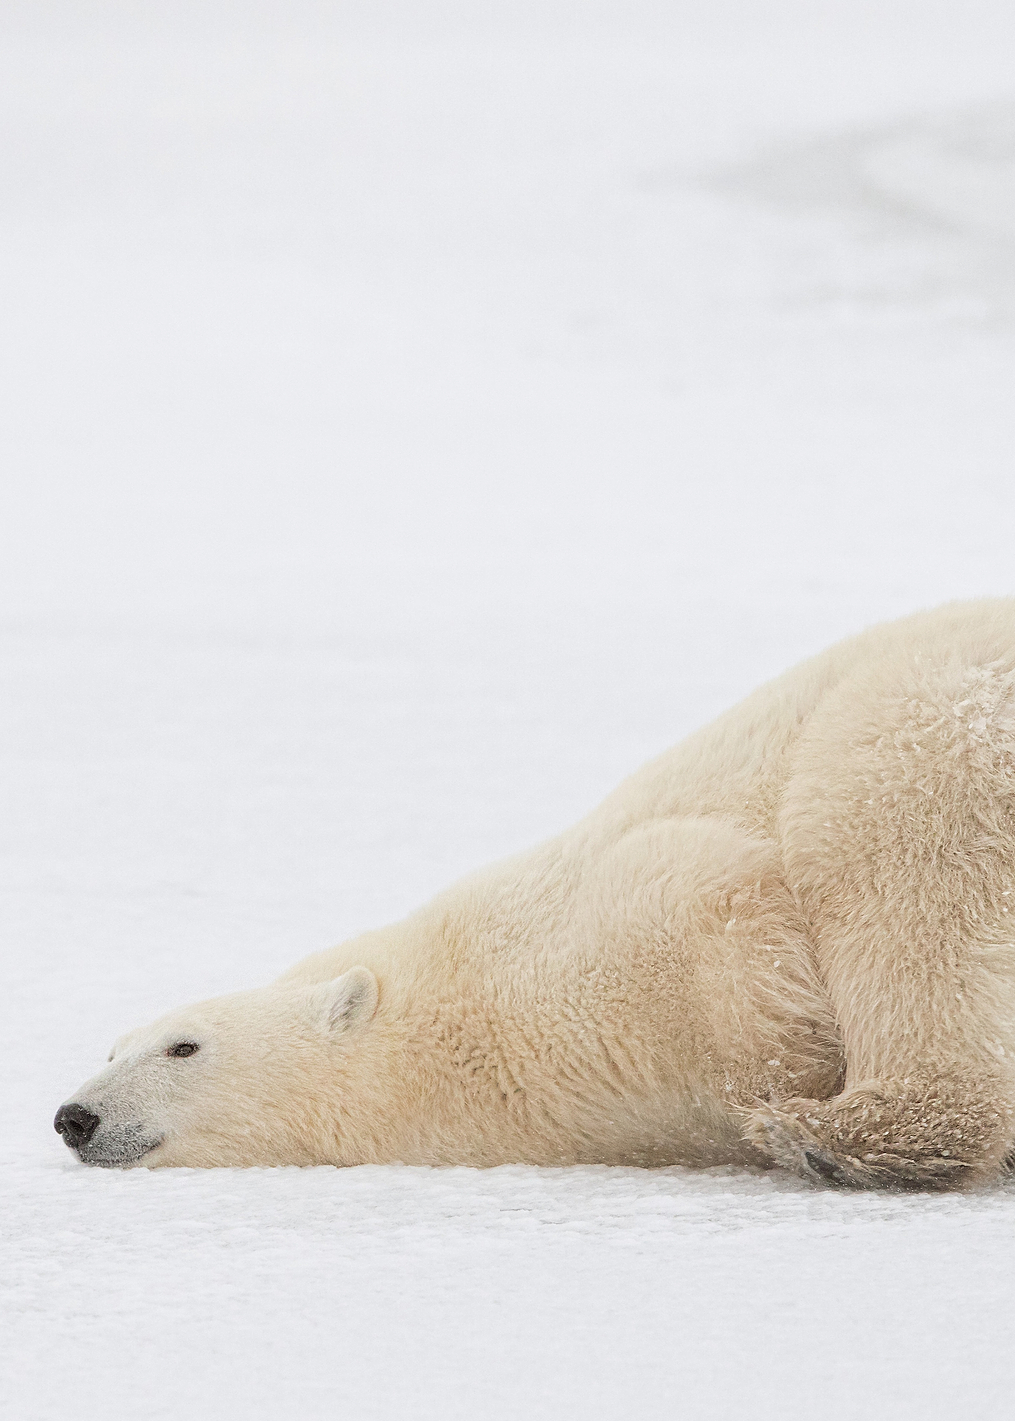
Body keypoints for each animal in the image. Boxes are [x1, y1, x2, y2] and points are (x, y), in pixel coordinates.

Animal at [55, 599, 1015, 1189]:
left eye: (183, 1044)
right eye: (110, 1045)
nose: (74, 1114)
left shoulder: (613, 922)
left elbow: (716, 891)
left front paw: (789, 1083)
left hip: (925, 726)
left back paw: (841, 1138)